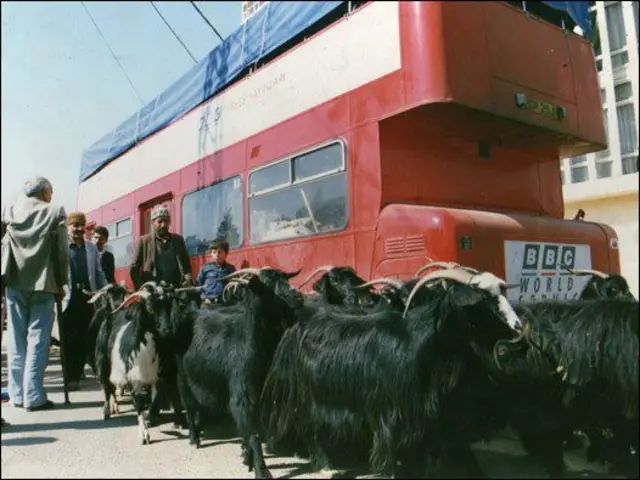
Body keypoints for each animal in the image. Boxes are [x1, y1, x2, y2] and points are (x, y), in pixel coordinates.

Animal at [174, 266, 304, 476]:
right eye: (266, 285)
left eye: (285, 279)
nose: (297, 296)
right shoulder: (243, 395)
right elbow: (253, 433)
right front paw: (261, 471)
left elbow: (249, 430)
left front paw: (247, 457)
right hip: (182, 376)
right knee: (189, 405)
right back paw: (194, 438)